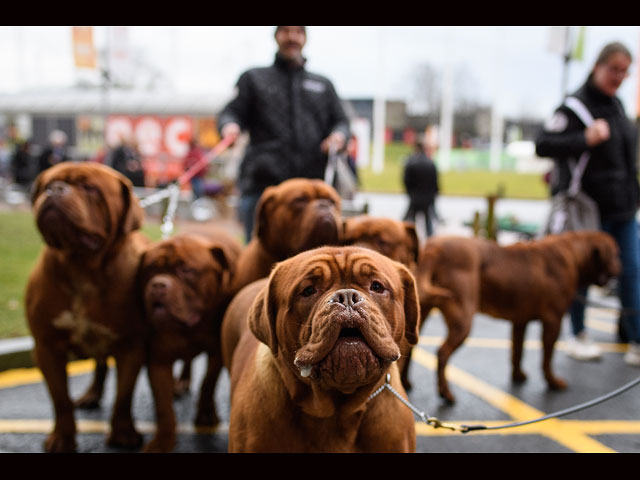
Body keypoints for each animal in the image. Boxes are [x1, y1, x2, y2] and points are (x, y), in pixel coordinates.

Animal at [26, 163, 149, 452]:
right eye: (49, 183)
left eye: (90, 188)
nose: (56, 189)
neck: (81, 267)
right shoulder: (46, 348)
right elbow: (60, 399)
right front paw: (62, 438)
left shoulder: (132, 347)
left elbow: (124, 395)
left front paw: (123, 432)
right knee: (99, 365)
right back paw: (92, 394)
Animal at [139, 231, 241, 452]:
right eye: (151, 269)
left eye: (186, 270)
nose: (158, 284)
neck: (189, 328)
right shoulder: (158, 360)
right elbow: (163, 406)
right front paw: (163, 441)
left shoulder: (217, 352)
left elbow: (208, 382)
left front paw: (205, 413)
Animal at [416, 231, 620, 404]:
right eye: (616, 254)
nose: (622, 267)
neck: (573, 252)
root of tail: (435, 248)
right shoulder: (553, 321)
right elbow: (547, 358)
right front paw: (552, 382)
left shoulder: (520, 321)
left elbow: (517, 350)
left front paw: (518, 376)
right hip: (462, 319)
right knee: (442, 353)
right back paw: (445, 393)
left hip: (420, 313)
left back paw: (410, 384)